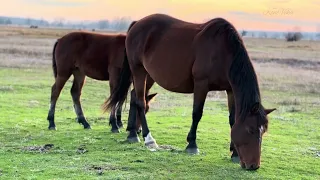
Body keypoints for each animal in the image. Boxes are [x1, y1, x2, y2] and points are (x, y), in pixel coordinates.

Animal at [104, 14, 276, 170]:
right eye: (251, 129)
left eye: (263, 131)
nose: (254, 166)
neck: (223, 51)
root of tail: (137, 23)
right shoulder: (201, 85)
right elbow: (197, 113)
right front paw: (192, 145)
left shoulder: (230, 90)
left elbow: (233, 120)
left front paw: (233, 153)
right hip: (138, 70)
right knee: (140, 101)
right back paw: (148, 139)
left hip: (148, 75)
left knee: (134, 96)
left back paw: (132, 133)